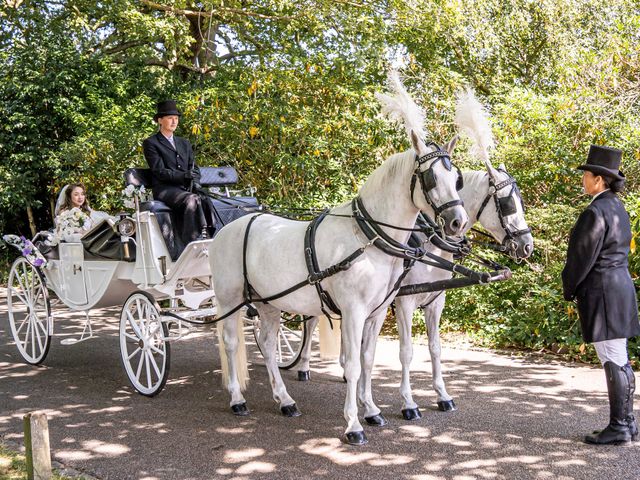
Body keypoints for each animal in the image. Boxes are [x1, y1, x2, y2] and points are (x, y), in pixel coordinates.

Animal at [212, 75, 468, 446]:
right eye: (431, 178)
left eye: (457, 178)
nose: (458, 222)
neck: (369, 237)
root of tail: (228, 227)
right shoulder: (354, 311)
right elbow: (353, 365)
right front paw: (353, 425)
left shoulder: (377, 312)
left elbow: (368, 359)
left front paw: (372, 410)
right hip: (230, 299)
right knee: (232, 344)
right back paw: (236, 398)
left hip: (269, 302)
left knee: (268, 346)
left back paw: (285, 400)